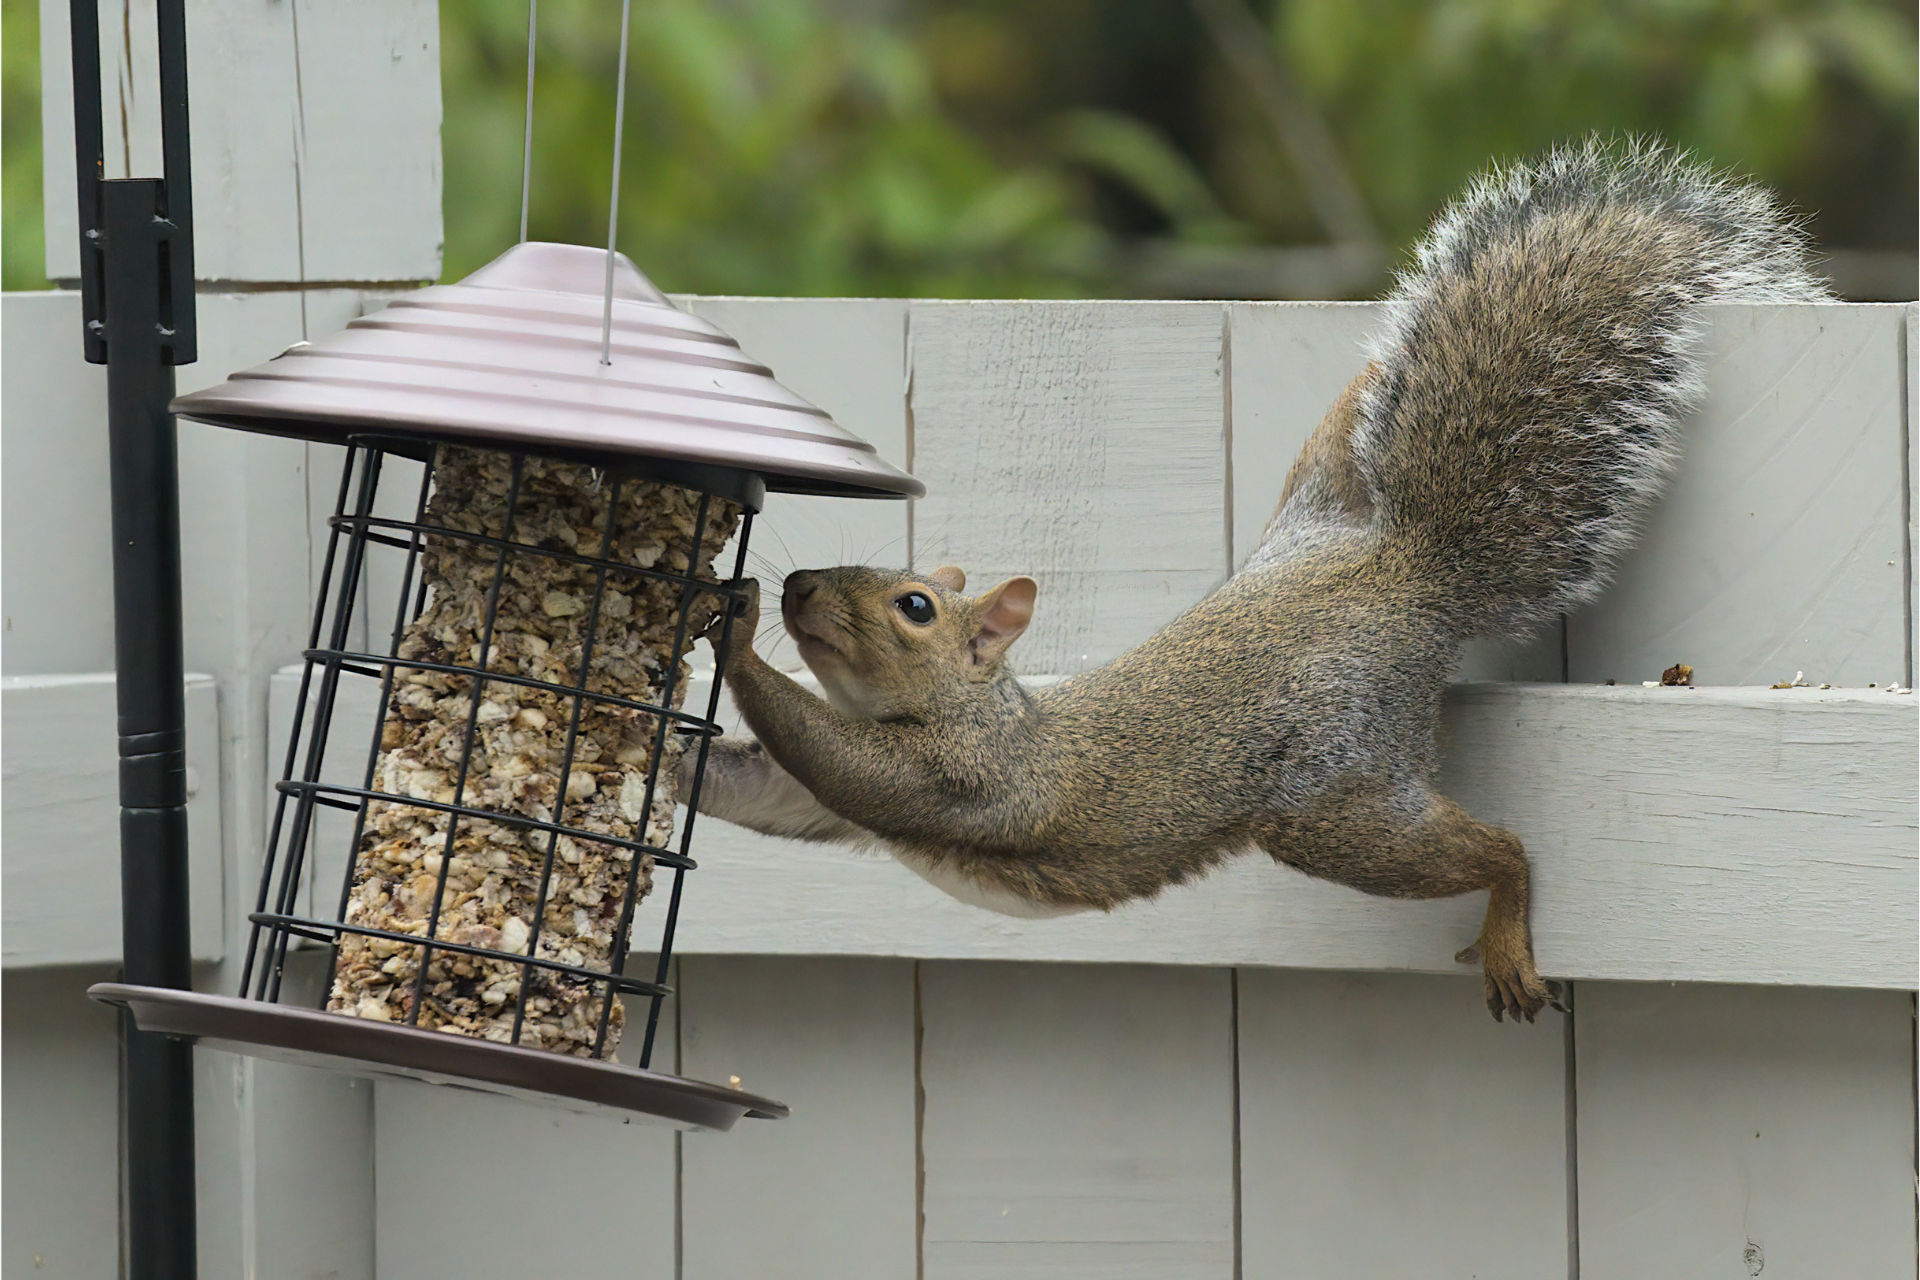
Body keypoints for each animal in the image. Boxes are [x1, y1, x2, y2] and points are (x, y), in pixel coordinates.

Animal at [679, 140, 1827, 1020]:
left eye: (913, 606)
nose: (797, 588)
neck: (969, 700)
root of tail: (1400, 569)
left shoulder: (973, 775)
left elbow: (845, 763)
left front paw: (731, 624)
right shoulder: (826, 801)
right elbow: (761, 789)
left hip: (1334, 790)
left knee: (1499, 849)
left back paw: (1506, 916)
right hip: (1317, 492)